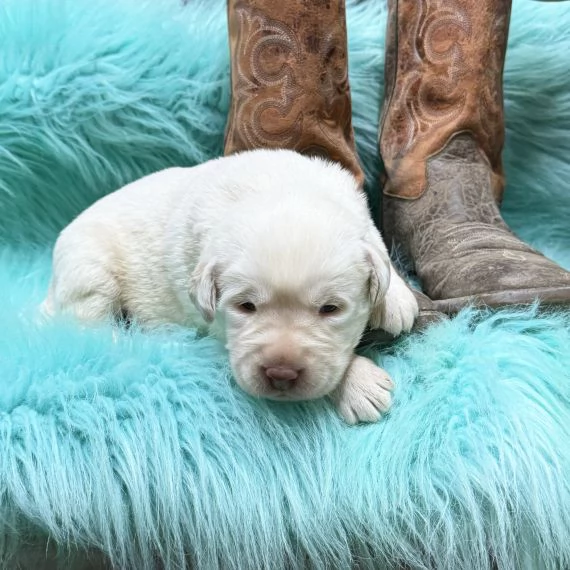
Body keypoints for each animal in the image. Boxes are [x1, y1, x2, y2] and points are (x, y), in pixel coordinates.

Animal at [42, 149, 414, 424]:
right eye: (246, 306)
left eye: (330, 309)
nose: (281, 374)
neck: (279, 188)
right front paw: (360, 384)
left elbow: (375, 240)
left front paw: (396, 297)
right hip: (89, 270)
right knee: (90, 328)